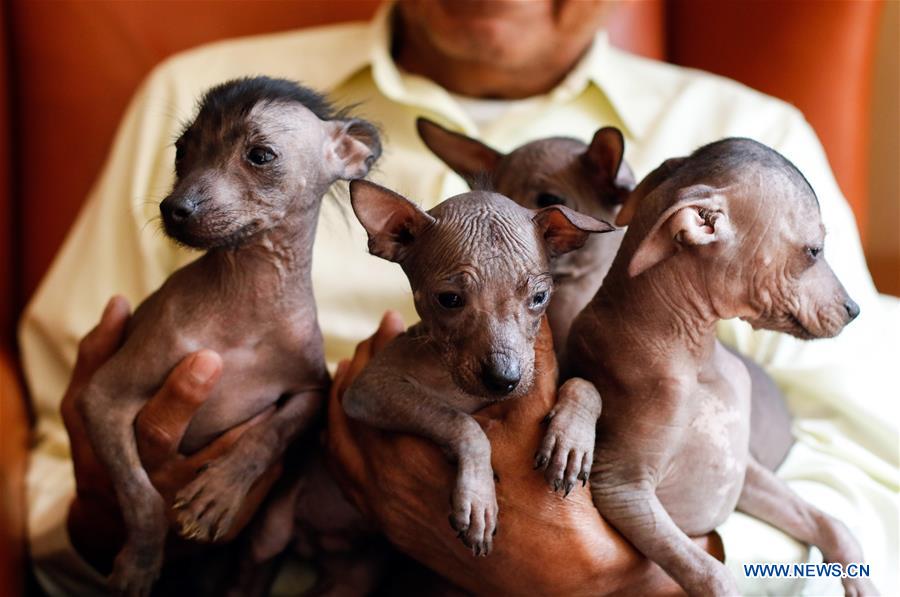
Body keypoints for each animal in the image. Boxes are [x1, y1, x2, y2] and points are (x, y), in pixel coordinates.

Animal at [72, 77, 378, 592]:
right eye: (181, 150)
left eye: (260, 155)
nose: (175, 207)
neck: (246, 309)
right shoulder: (103, 397)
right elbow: (140, 494)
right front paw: (140, 561)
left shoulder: (313, 391)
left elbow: (269, 434)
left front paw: (219, 492)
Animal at [342, 180, 616, 556]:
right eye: (449, 299)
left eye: (540, 297)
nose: (505, 379)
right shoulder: (369, 389)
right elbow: (462, 422)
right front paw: (478, 499)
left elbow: (585, 384)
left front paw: (571, 442)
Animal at [548, 137, 872, 592]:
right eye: (814, 251)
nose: (855, 309)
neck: (696, 353)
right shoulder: (622, 489)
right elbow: (711, 573)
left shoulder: (744, 474)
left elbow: (831, 523)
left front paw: (862, 580)